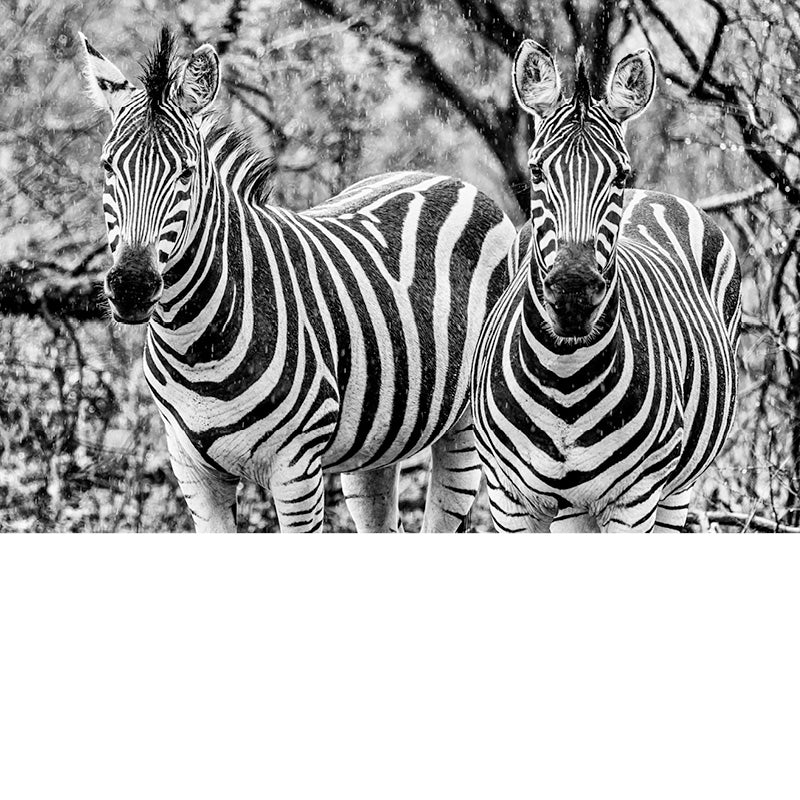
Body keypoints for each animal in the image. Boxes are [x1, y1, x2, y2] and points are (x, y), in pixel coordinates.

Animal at [79, 30, 516, 532]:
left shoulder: (296, 470)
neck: (194, 345)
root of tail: (445, 177)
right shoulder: (192, 472)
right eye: (107, 167)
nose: (132, 287)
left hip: (466, 430)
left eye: (187, 172)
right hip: (378, 441)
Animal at [470, 41, 741, 533]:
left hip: (677, 489)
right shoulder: (506, 497)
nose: (573, 294)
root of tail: (652, 196)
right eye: (535, 172)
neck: (564, 377)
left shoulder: (635, 500)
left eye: (619, 176)